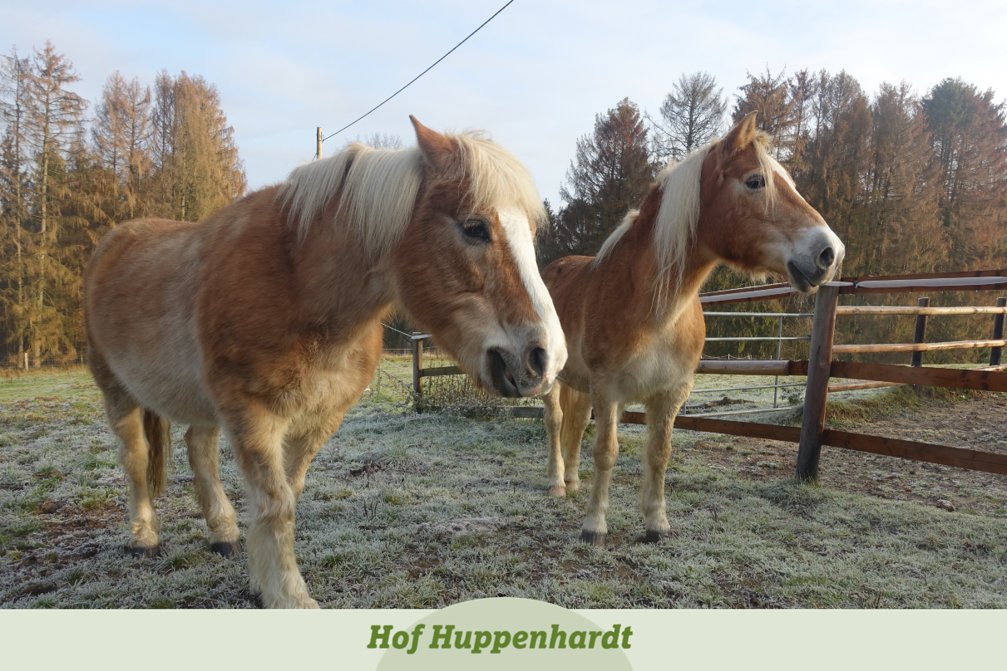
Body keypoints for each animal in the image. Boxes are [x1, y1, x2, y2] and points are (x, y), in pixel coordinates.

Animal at [84, 116, 568, 608]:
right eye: (474, 227)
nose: (546, 357)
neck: (298, 286)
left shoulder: (316, 420)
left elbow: (287, 496)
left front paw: (261, 582)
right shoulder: (252, 416)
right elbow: (276, 504)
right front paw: (289, 598)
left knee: (199, 451)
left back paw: (223, 534)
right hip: (118, 393)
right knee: (136, 458)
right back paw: (144, 537)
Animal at [542, 112, 844, 546]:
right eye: (755, 181)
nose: (830, 253)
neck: (656, 311)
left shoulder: (670, 394)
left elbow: (659, 454)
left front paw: (656, 524)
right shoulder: (609, 389)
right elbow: (607, 452)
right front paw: (594, 526)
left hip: (580, 384)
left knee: (577, 423)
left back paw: (571, 480)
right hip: (555, 380)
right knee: (555, 422)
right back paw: (555, 483)